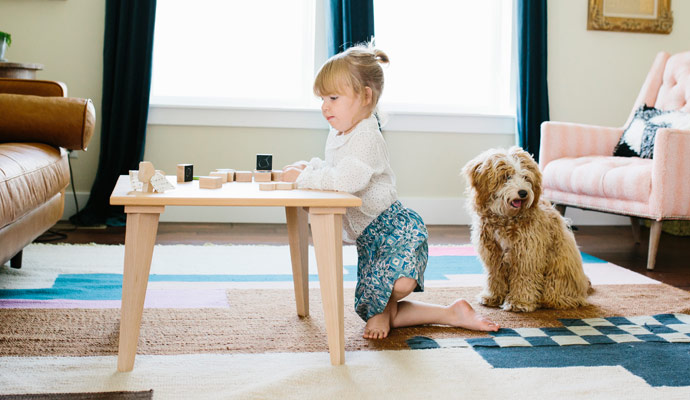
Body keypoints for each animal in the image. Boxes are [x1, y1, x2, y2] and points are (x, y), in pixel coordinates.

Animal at [460, 147, 588, 312]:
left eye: (526, 177)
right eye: (507, 177)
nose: (523, 193)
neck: (506, 218)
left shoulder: (528, 253)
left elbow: (524, 277)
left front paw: (519, 302)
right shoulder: (492, 253)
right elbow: (494, 276)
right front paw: (492, 296)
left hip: (558, 271)